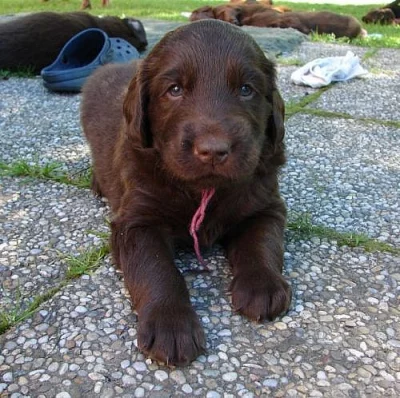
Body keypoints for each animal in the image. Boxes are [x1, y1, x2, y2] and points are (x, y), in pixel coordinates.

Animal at [80, 20, 290, 366]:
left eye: (246, 89)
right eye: (175, 90)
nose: (213, 150)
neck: (202, 189)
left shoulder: (265, 204)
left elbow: (262, 240)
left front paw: (262, 285)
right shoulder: (136, 221)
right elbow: (157, 267)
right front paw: (170, 323)